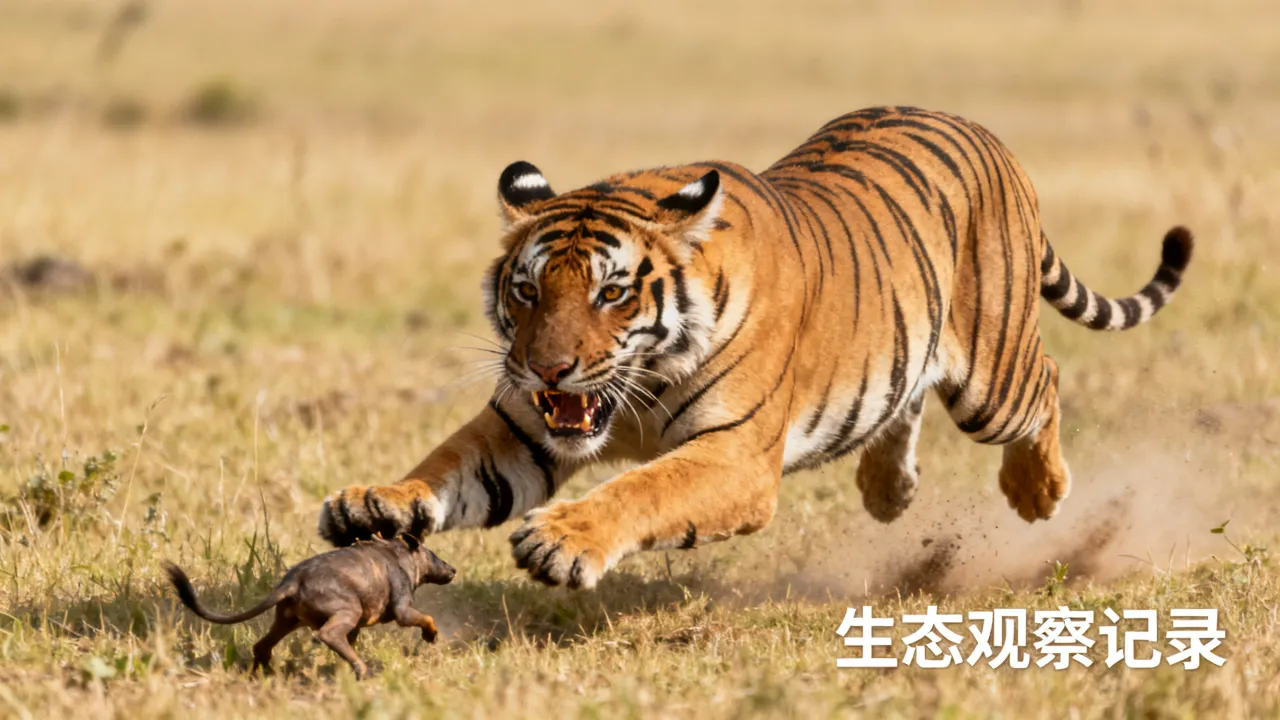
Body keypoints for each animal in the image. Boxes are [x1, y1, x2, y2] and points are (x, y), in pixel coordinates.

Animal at [317, 105, 1193, 589]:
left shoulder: (734, 455)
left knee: (1045, 380)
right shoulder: (525, 427)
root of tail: (981, 131)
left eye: (611, 292)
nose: (546, 367)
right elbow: (447, 465)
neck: (639, 381)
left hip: (992, 380)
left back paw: (1037, 491)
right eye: (528, 291)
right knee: (904, 396)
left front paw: (562, 541)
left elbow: (646, 489)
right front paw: (373, 501)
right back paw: (887, 490)